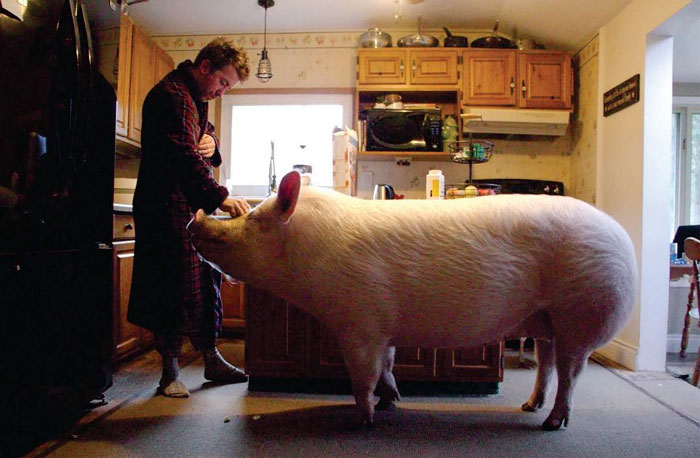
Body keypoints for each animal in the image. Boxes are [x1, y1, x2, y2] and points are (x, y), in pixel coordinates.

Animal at [188, 171, 637, 430]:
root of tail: (624, 243)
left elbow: (363, 374)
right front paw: (392, 402)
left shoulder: (359, 323)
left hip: (582, 312)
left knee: (571, 373)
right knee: (547, 363)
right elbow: (388, 365)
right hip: (546, 319)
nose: (195, 219)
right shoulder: (382, 327)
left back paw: (552, 423)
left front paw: (363, 419)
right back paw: (530, 407)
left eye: (255, 219)